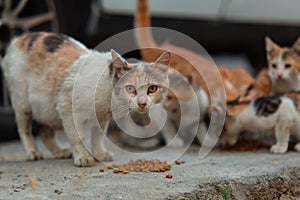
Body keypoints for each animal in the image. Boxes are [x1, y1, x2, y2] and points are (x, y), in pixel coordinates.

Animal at [2, 31, 171, 167]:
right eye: (130, 88)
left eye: (152, 89)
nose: (142, 103)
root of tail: (20, 38)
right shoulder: (67, 108)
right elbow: (78, 136)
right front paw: (83, 158)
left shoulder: (101, 118)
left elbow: (98, 136)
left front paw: (100, 154)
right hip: (23, 104)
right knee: (24, 129)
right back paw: (33, 152)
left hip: (49, 110)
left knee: (44, 132)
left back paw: (60, 152)